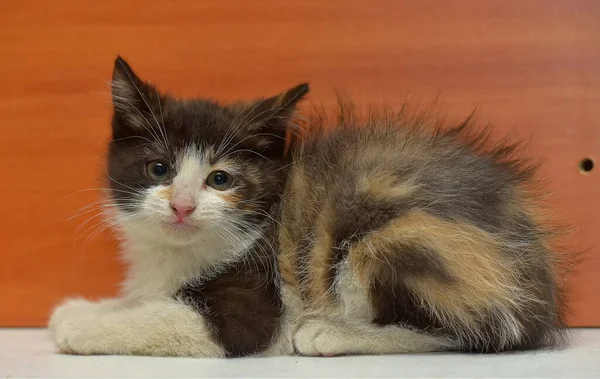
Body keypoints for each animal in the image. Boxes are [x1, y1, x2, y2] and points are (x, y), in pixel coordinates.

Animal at [48, 57, 568, 360]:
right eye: (158, 169)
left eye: (221, 179)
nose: (181, 207)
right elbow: (148, 298)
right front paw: (91, 306)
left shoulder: (253, 302)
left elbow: (171, 319)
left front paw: (84, 325)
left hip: (402, 237)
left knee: (475, 328)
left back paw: (331, 334)